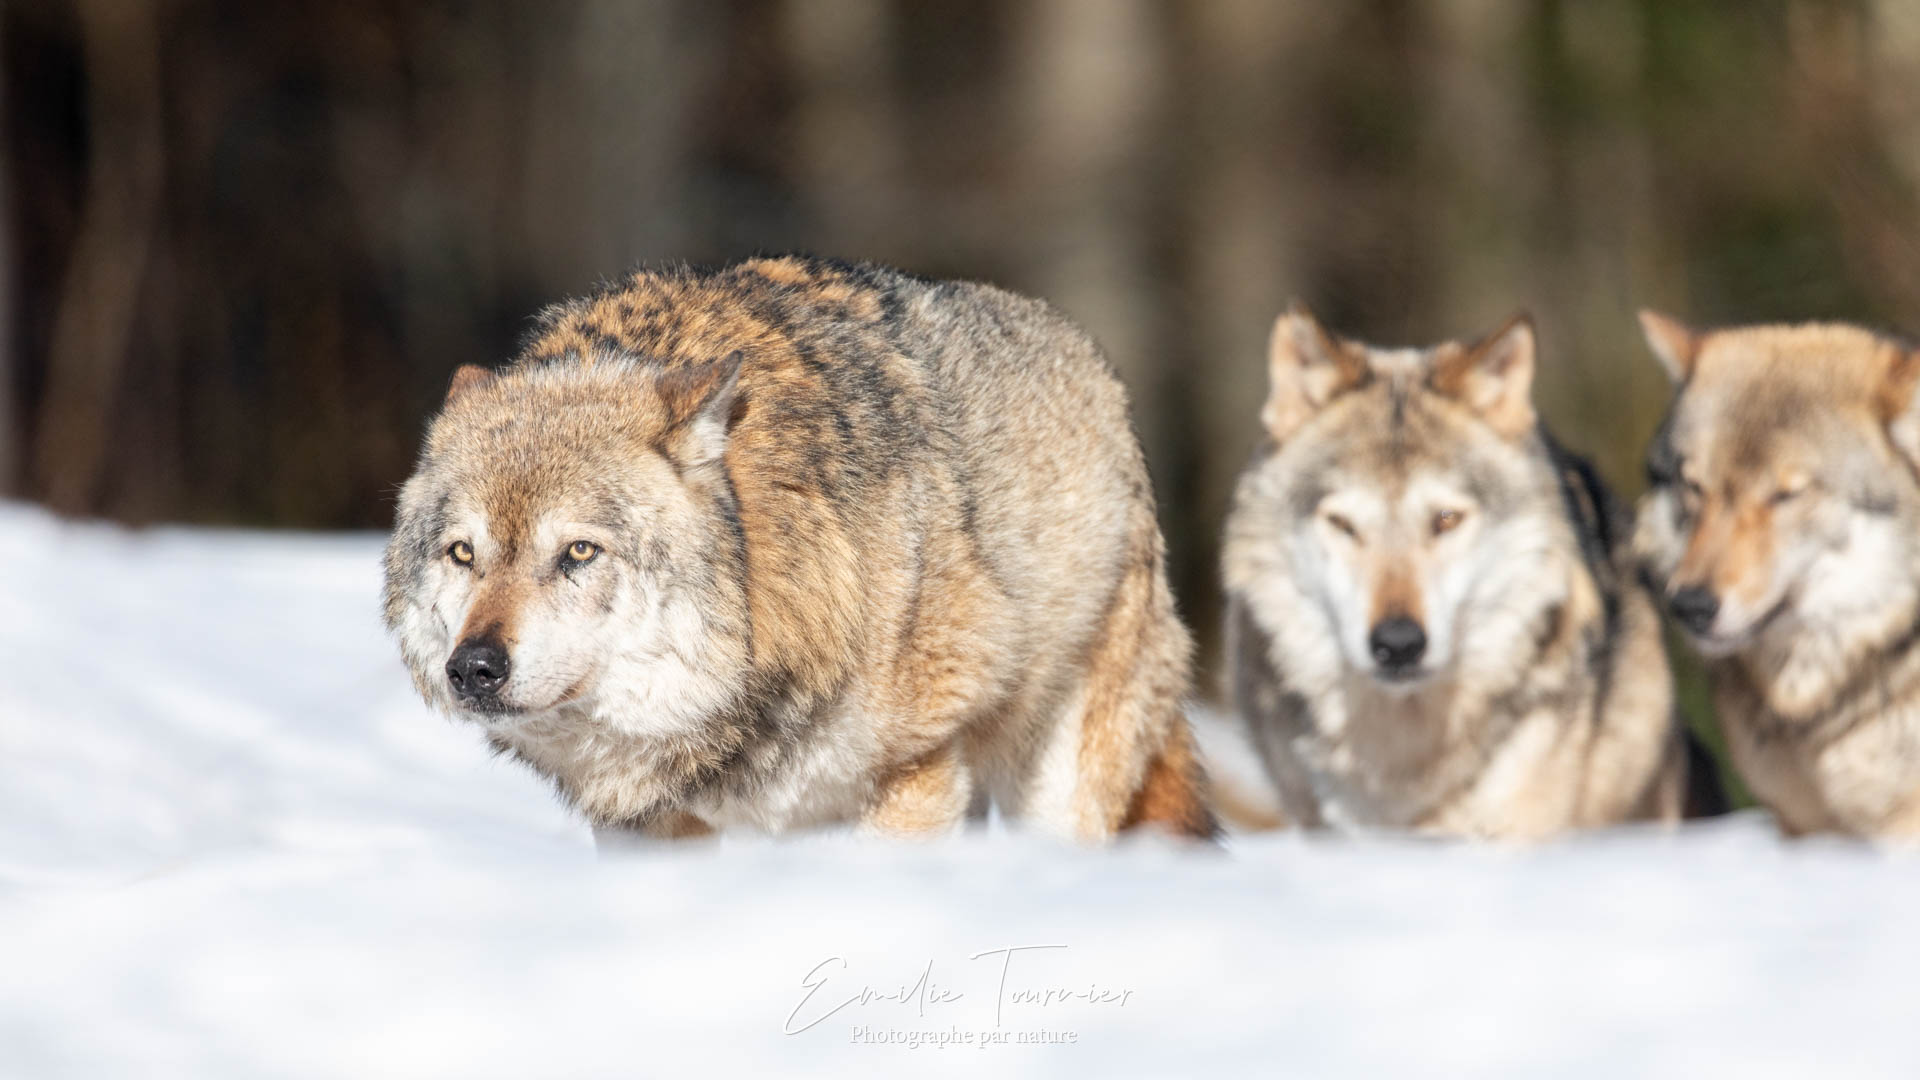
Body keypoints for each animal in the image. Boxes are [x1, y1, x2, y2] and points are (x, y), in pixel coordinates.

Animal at [380, 253, 1205, 841]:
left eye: (579, 552)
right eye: (463, 553)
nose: (474, 667)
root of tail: (1095, 363)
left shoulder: (908, 784)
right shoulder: (646, 825)